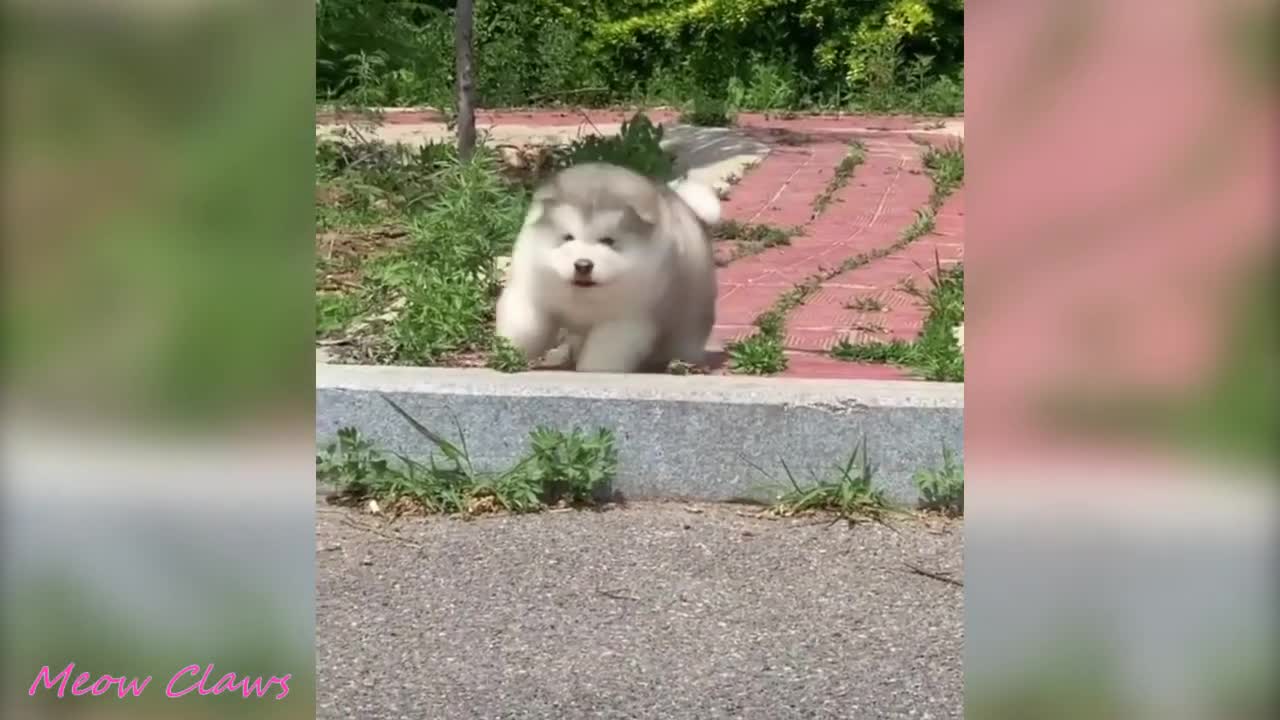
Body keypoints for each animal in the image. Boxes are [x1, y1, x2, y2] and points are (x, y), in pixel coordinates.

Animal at [496, 163, 721, 371]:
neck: (584, 297)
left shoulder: (625, 320)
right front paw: (510, 354)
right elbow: (526, 327)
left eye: (608, 241)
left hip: (688, 323)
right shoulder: (531, 294)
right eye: (568, 237)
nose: (583, 265)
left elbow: (604, 353)